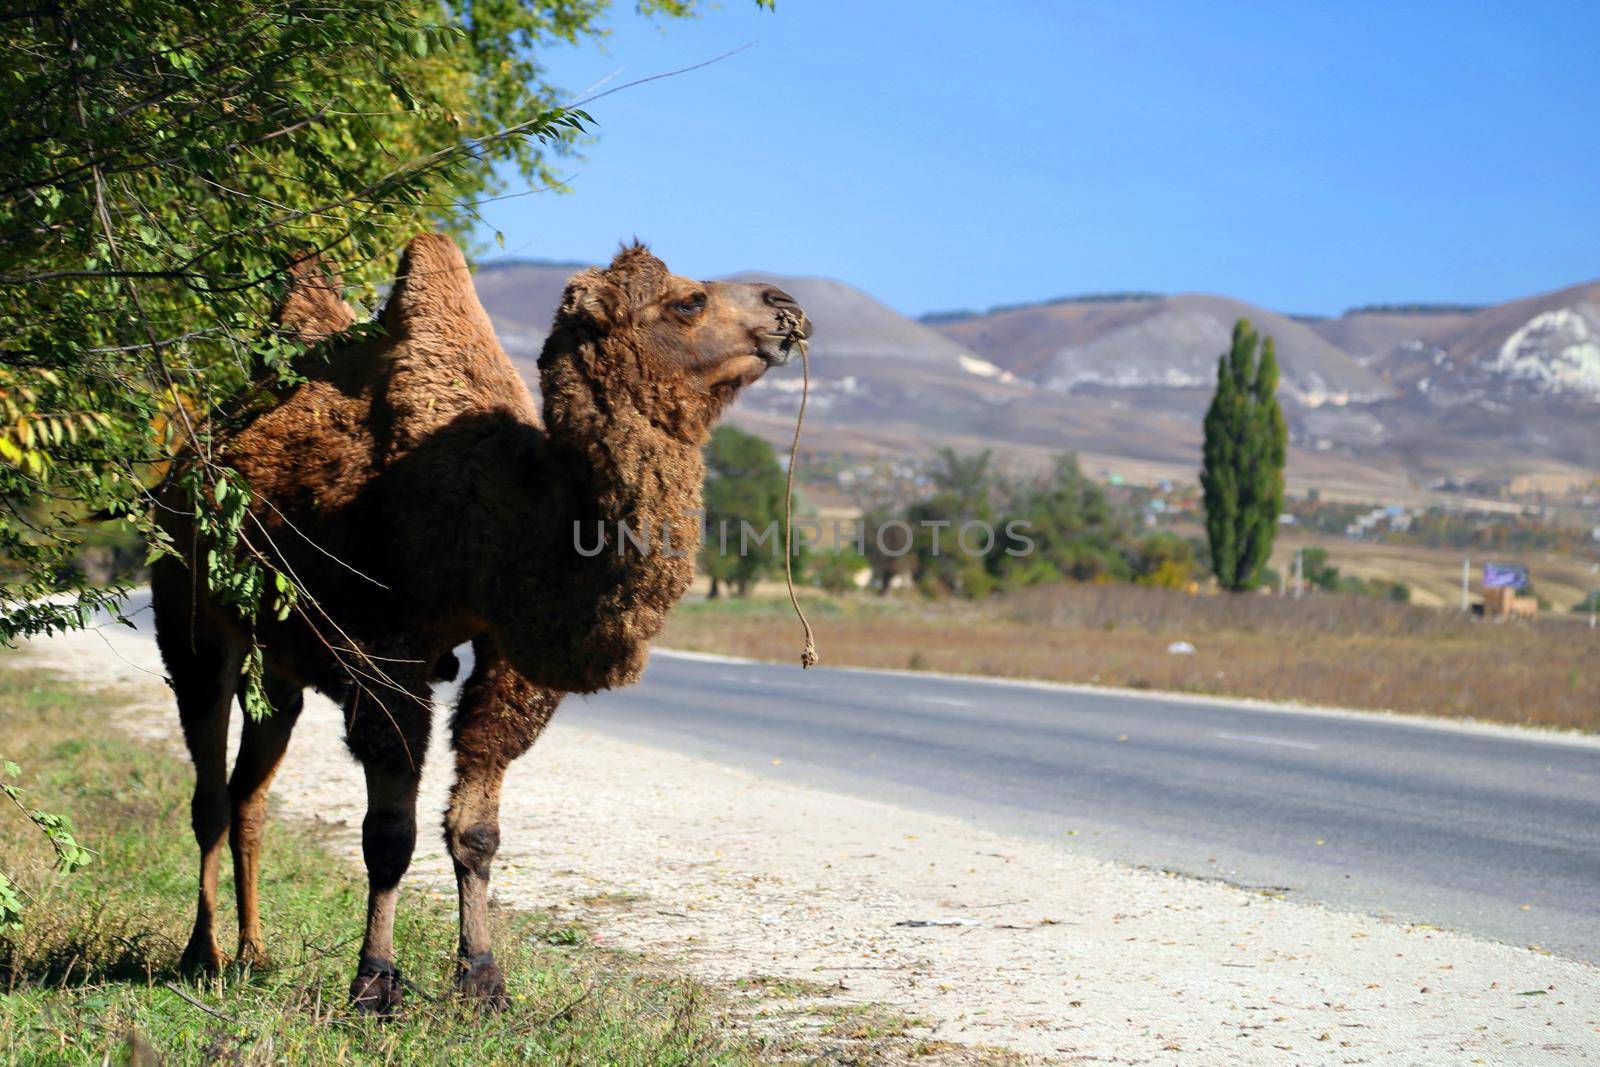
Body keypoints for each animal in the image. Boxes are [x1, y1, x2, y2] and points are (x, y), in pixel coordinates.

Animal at [150, 230, 812, 1017]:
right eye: (688, 301)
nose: (786, 305)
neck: (506, 513)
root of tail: (183, 466)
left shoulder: (507, 654)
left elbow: (476, 830)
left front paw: (484, 978)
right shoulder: (388, 647)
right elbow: (389, 833)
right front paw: (374, 980)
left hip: (279, 666)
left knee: (250, 793)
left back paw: (253, 951)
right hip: (190, 616)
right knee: (210, 792)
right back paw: (204, 953)